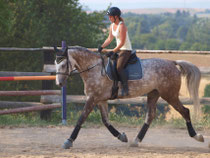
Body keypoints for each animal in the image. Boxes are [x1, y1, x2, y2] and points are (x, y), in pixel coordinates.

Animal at [53, 45, 203, 149]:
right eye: (56, 64)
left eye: (63, 64)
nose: (59, 83)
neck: (93, 69)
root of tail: (172, 62)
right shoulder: (101, 100)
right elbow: (105, 121)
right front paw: (122, 136)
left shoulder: (92, 98)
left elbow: (81, 118)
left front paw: (68, 141)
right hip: (153, 94)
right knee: (150, 116)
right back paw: (136, 141)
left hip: (169, 95)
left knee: (185, 111)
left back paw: (197, 136)